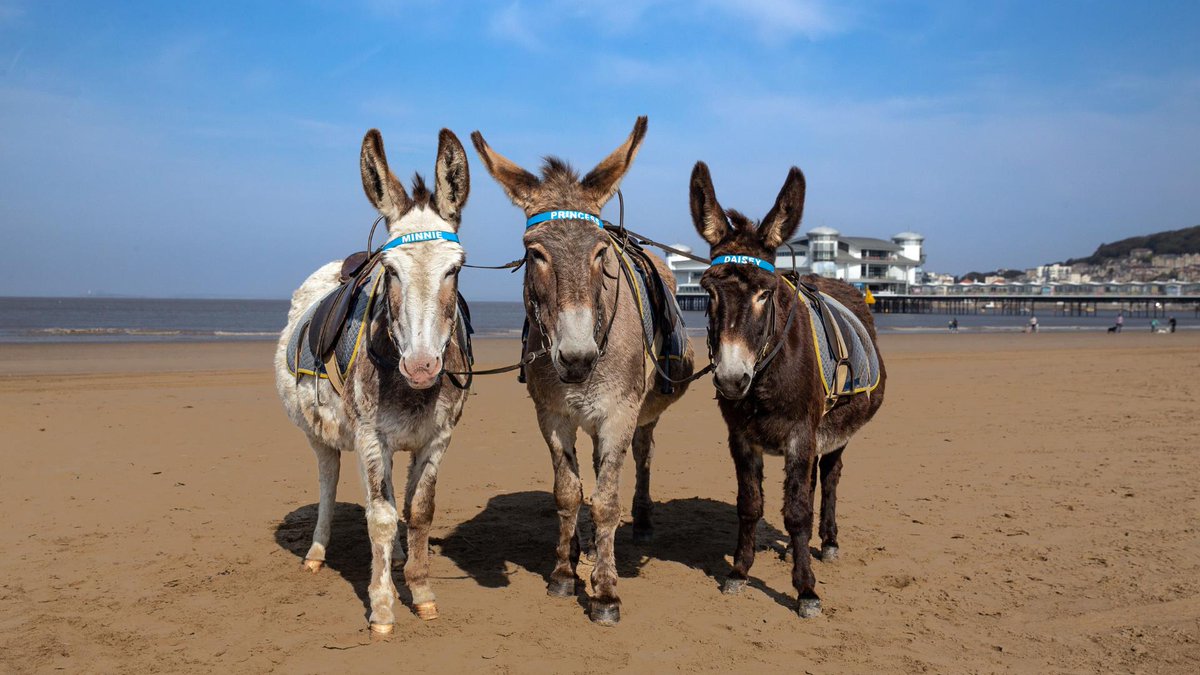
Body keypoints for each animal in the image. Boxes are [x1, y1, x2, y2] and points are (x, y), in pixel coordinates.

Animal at [274, 128, 471, 634]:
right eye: (391, 270)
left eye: (455, 268)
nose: (421, 367)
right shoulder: (370, 435)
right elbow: (380, 516)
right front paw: (382, 607)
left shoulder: (437, 438)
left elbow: (418, 512)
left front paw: (420, 590)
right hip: (325, 436)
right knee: (330, 484)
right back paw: (317, 553)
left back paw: (397, 556)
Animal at [470, 117, 696, 625]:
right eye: (535, 253)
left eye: (600, 253)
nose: (576, 359)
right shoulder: (553, 416)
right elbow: (569, 493)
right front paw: (564, 572)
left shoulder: (618, 413)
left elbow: (607, 501)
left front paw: (606, 592)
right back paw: (584, 550)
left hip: (641, 413)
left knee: (642, 456)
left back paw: (640, 522)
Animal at [688, 160, 887, 618]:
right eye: (708, 291)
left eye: (766, 293)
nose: (731, 379)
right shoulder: (742, 437)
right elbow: (750, 505)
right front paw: (740, 570)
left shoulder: (801, 434)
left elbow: (797, 512)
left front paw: (806, 590)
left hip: (835, 431)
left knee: (829, 479)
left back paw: (827, 542)